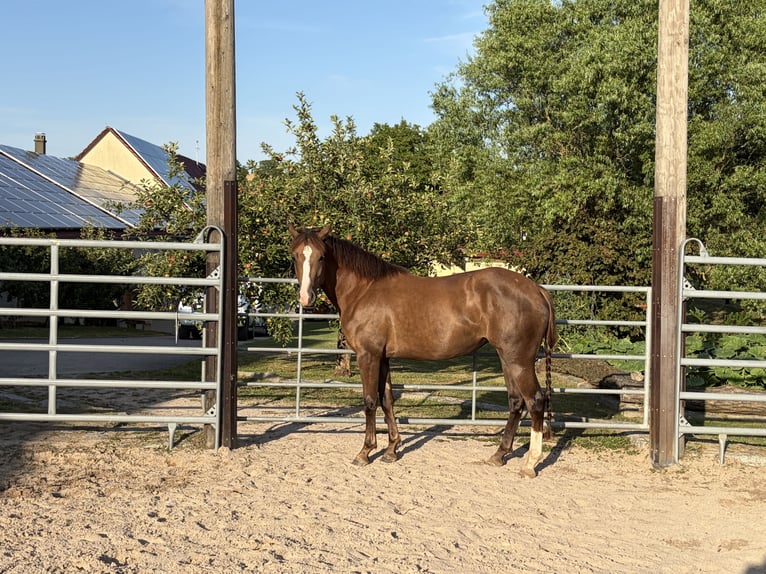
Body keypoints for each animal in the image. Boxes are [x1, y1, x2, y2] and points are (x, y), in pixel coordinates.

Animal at [288, 223, 558, 477]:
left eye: (322, 256)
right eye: (295, 255)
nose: (306, 298)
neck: (364, 290)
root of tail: (536, 290)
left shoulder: (368, 356)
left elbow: (370, 401)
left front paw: (365, 452)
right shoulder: (383, 358)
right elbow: (387, 400)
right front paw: (391, 450)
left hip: (519, 360)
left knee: (535, 401)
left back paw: (530, 463)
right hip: (507, 358)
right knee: (516, 401)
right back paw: (499, 455)